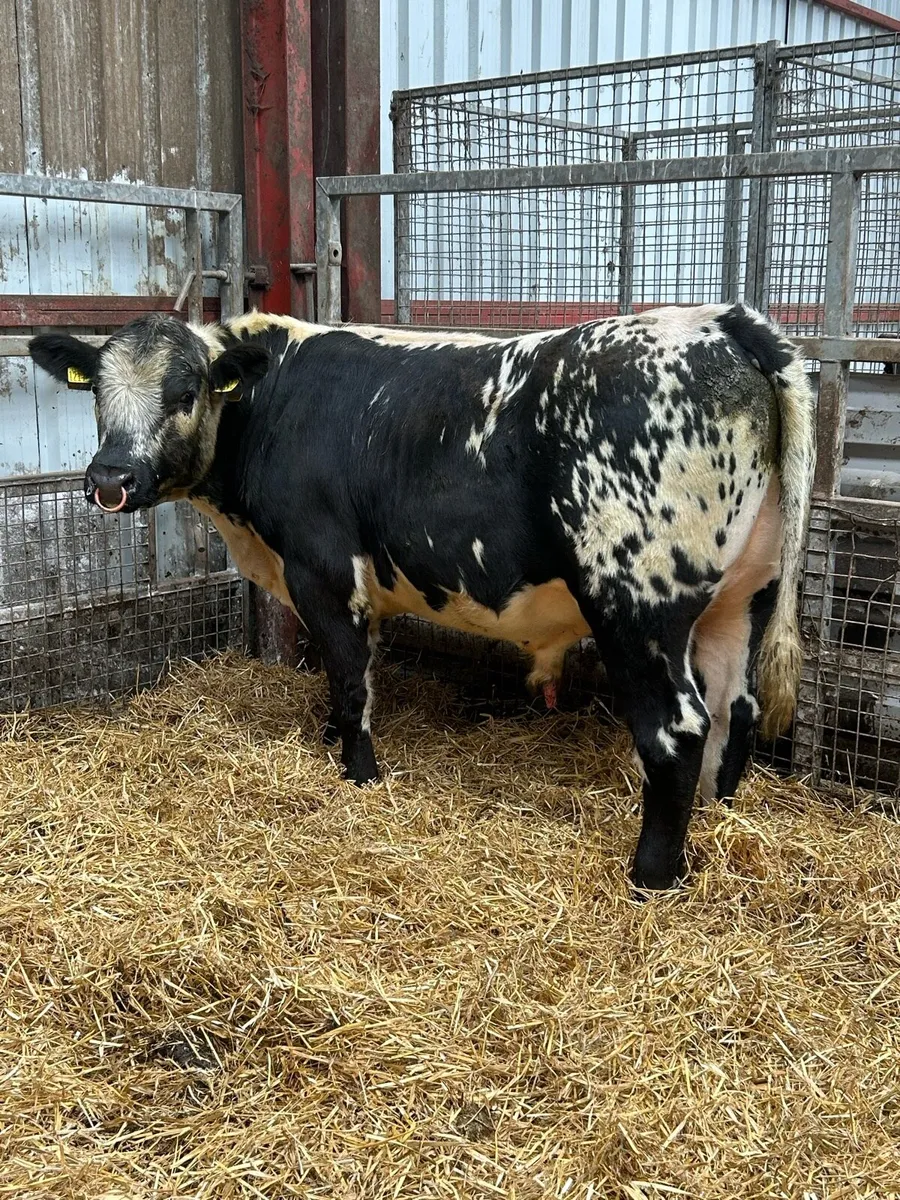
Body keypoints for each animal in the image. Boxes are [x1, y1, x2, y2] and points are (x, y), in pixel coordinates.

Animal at [29, 303, 815, 890]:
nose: (110, 478)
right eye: (94, 393)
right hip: (744, 594)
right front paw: (331, 743)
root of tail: (716, 321)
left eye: (185, 393)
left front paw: (360, 776)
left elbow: (350, 676)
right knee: (734, 711)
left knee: (676, 728)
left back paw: (651, 875)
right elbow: (344, 674)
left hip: (637, 600)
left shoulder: (323, 568)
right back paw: (718, 818)